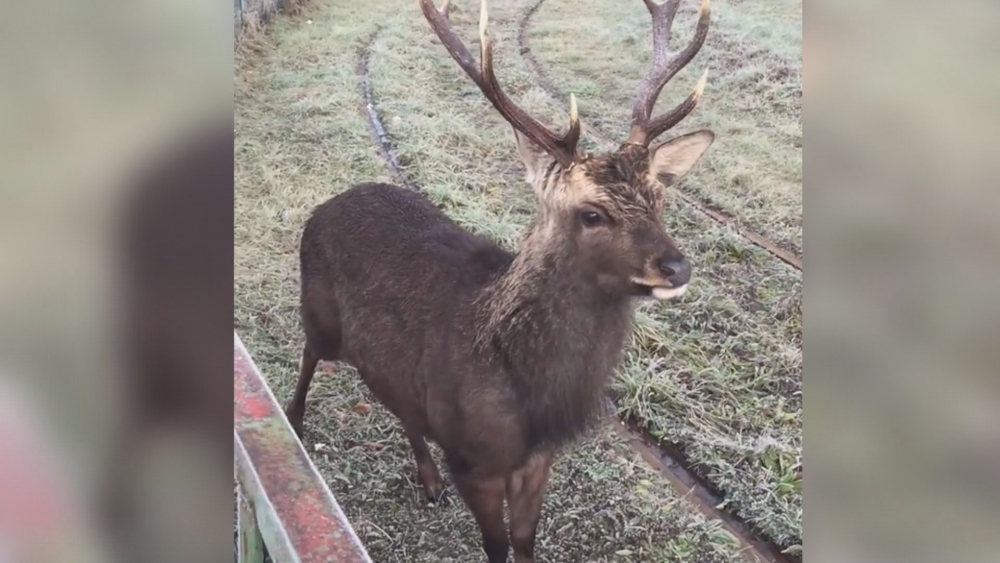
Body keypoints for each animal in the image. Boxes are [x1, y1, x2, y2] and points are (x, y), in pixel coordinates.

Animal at [286, 0, 716, 560]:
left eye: (659, 200)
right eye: (592, 214)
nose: (676, 267)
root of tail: (328, 203)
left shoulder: (539, 462)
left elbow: (526, 542)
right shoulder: (475, 464)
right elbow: (496, 547)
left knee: (400, 401)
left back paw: (428, 480)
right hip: (319, 312)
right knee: (309, 351)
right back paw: (292, 421)